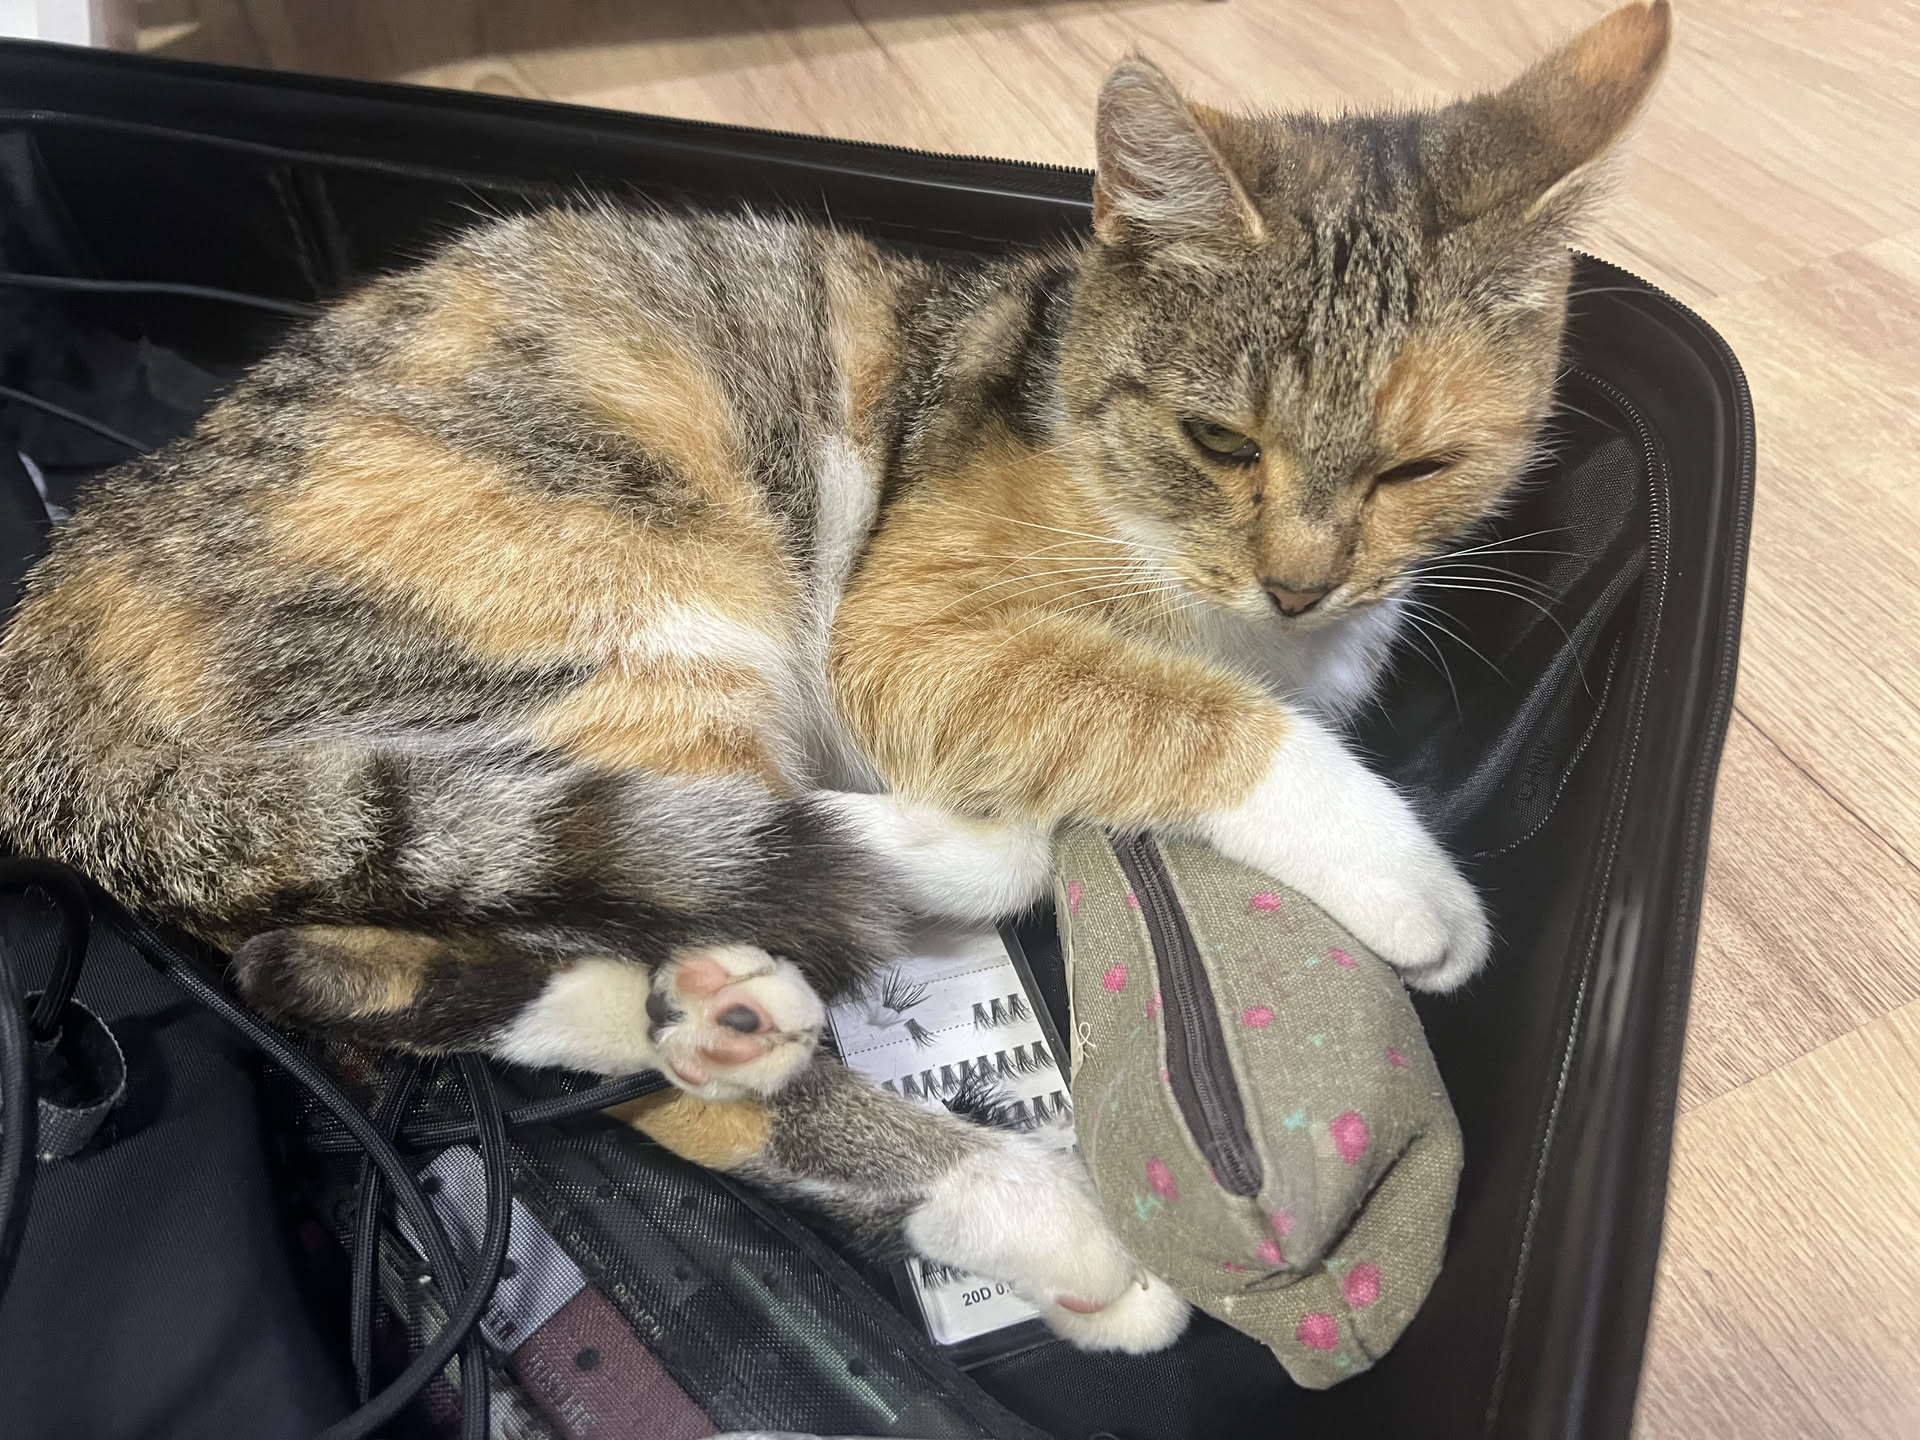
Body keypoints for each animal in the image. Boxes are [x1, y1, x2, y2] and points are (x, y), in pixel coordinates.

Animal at [0, 3, 1668, 1353]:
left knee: (347, 955)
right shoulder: (912, 634)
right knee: (641, 988)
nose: (1306, 581)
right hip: (651, 596)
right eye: (1221, 441)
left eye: (1419, 468)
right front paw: (1404, 876)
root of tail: (66, 587)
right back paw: (1027, 1208)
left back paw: (789, 948)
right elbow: (1185, 713)